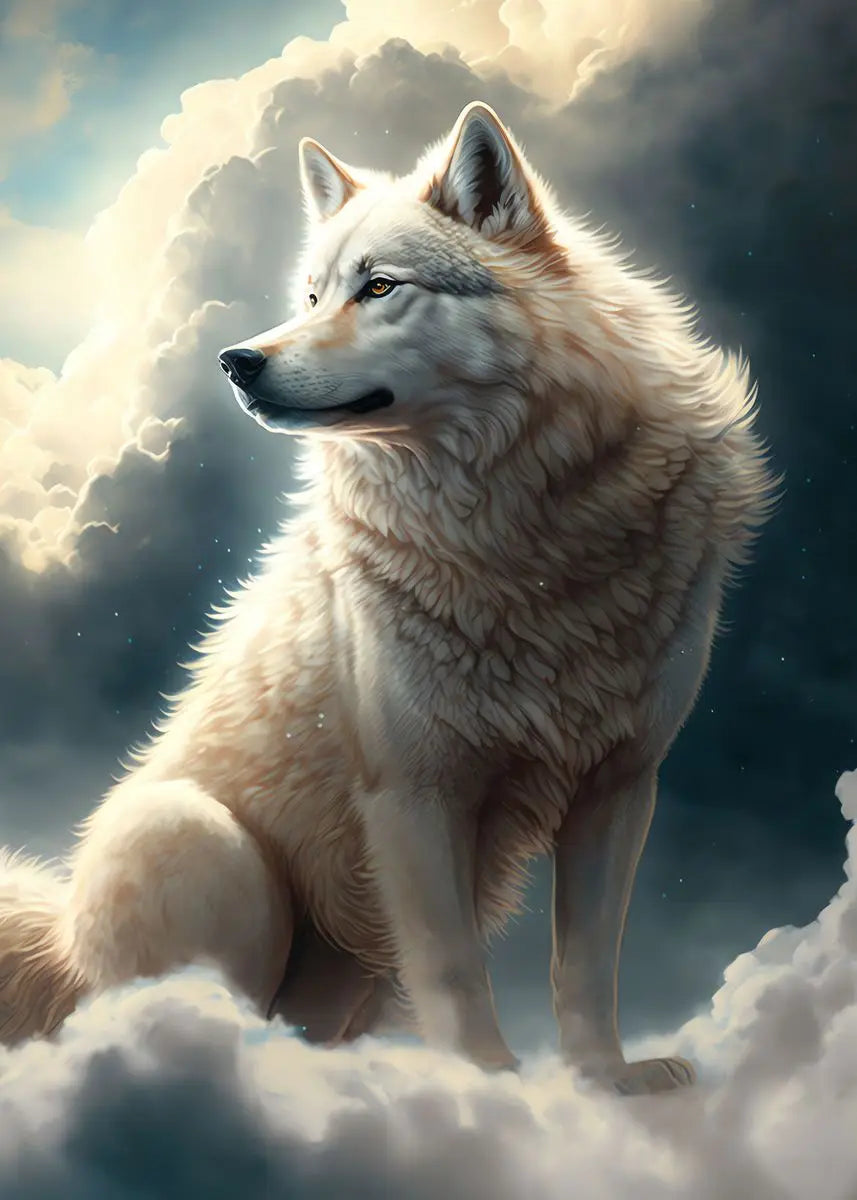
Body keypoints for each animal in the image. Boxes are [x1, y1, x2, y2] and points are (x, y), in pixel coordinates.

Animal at [0, 102, 775, 1094]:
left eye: (377, 287)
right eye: (310, 295)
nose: (237, 360)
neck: (518, 536)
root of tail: (58, 946)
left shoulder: (618, 787)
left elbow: (585, 963)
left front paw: (602, 1080)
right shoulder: (411, 793)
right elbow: (451, 964)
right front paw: (487, 1081)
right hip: (210, 845)